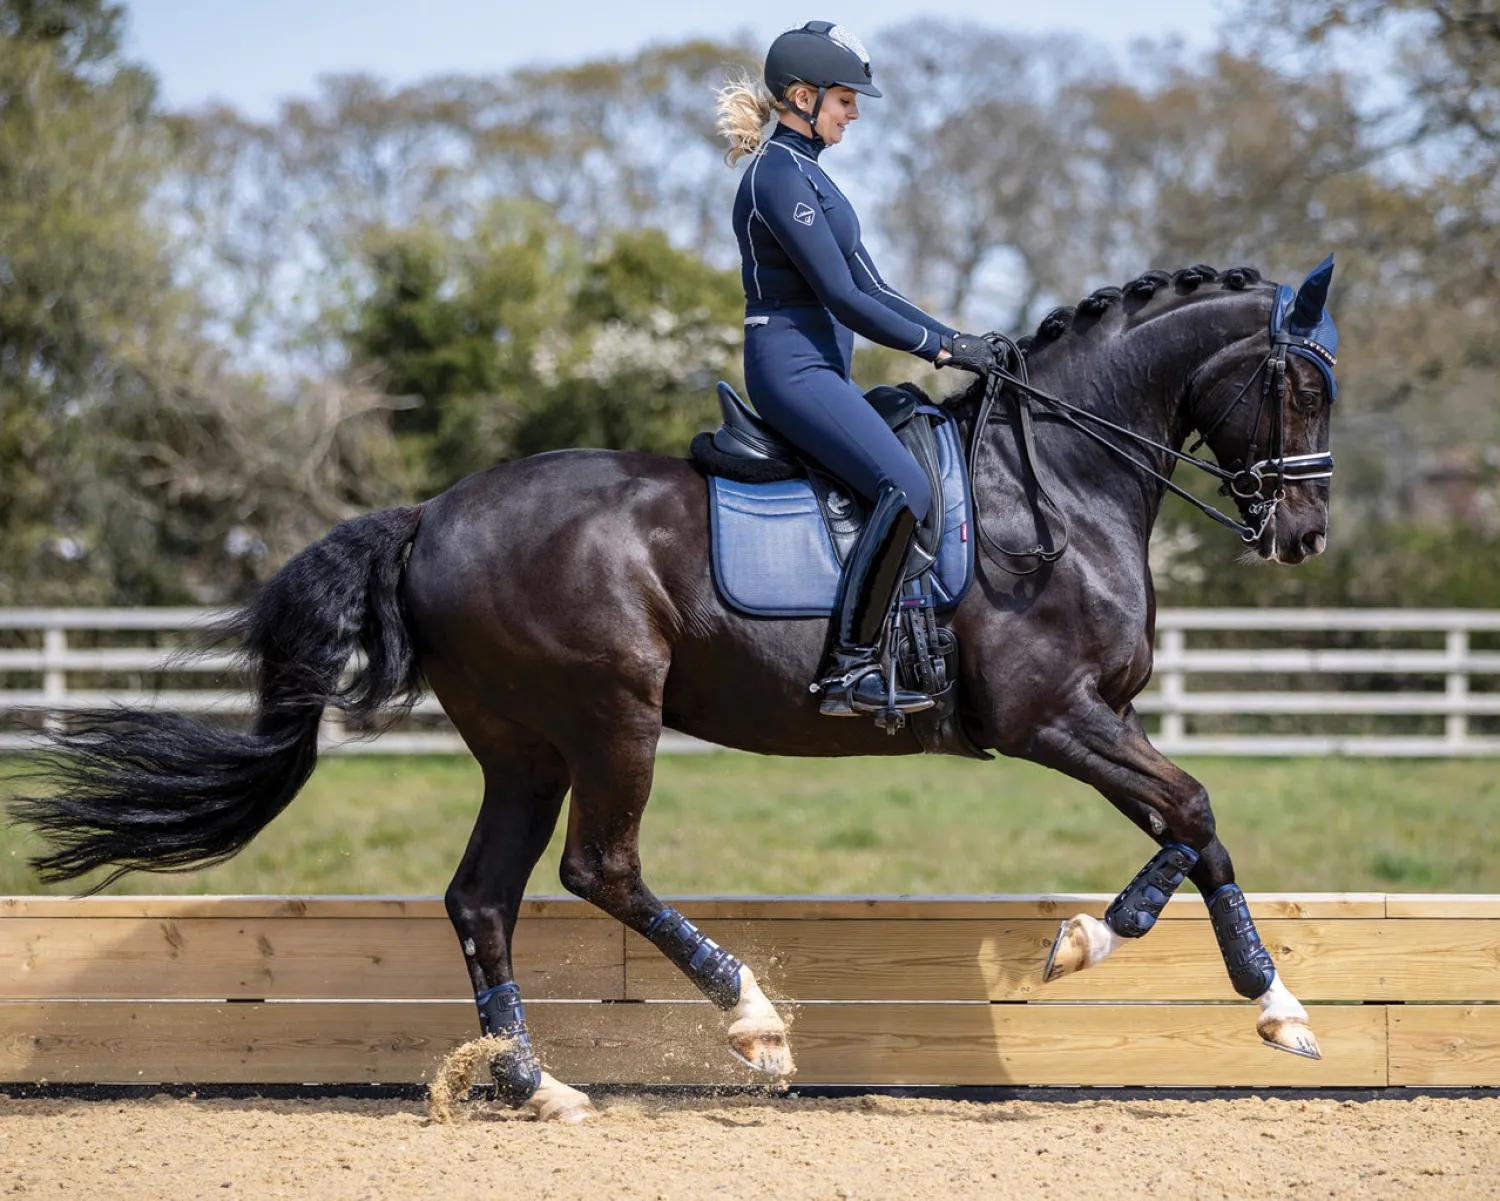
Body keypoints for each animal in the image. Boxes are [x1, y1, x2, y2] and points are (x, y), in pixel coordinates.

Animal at [11, 260, 1338, 1123]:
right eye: (1304, 386)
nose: (1305, 535)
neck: (1055, 478)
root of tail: (432, 513)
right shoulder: (1048, 715)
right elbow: (1195, 808)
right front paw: (1120, 953)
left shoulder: (1098, 716)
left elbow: (1193, 827)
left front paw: (1252, 997)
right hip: (613, 720)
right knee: (600, 870)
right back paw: (749, 1018)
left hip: (525, 748)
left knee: (482, 896)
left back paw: (539, 1085)